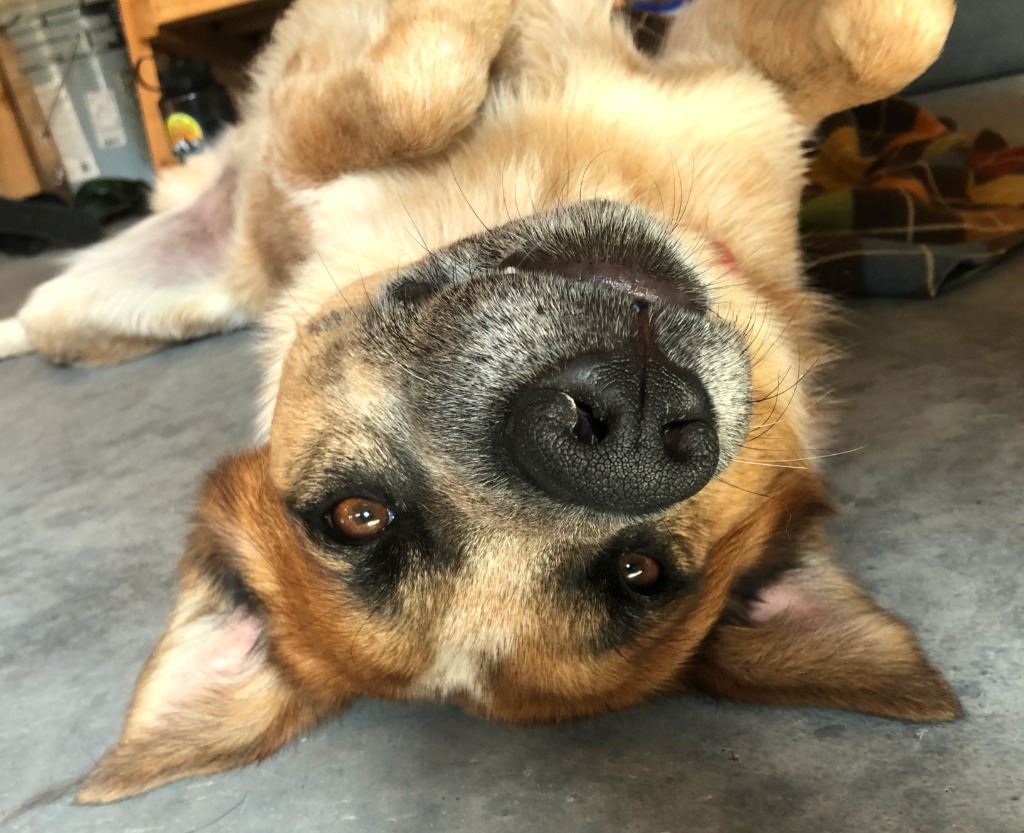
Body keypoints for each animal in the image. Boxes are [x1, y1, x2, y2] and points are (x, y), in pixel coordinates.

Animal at [2, 0, 958, 807]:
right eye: (359, 514)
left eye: (640, 571)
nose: (621, 433)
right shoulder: (324, 122)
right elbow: (415, 85)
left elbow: (893, 41)